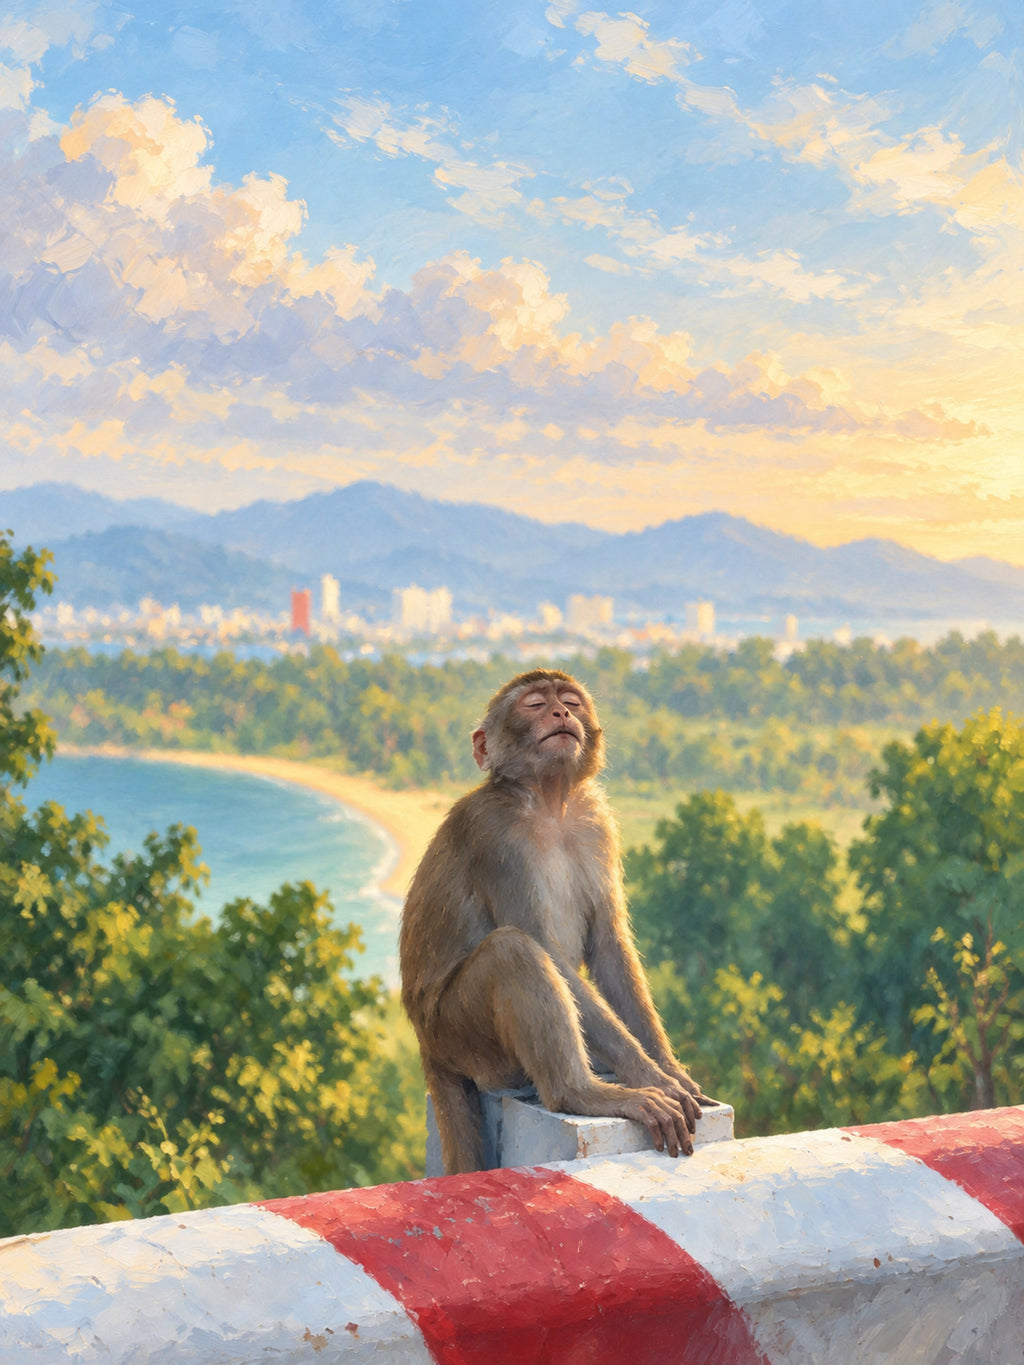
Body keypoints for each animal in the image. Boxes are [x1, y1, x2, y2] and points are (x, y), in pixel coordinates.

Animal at [399, 667, 713, 1175]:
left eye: (570, 700)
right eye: (533, 704)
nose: (561, 713)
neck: (549, 803)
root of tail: (428, 1045)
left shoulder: (596, 822)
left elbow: (609, 946)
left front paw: (667, 1067)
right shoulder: (495, 837)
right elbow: (544, 947)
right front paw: (651, 1076)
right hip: (460, 1035)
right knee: (513, 951)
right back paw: (581, 1093)